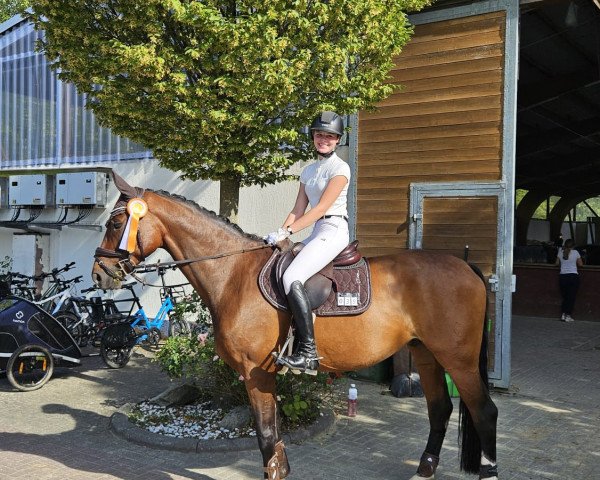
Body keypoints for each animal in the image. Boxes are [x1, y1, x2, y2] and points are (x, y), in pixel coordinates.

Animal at [92, 173, 496, 480]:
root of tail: (466, 266)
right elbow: (270, 438)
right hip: (426, 353)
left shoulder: (256, 372)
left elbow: (267, 436)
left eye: (116, 223)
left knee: (483, 410)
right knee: (440, 408)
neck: (234, 273)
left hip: (458, 359)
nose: (99, 274)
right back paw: (424, 470)